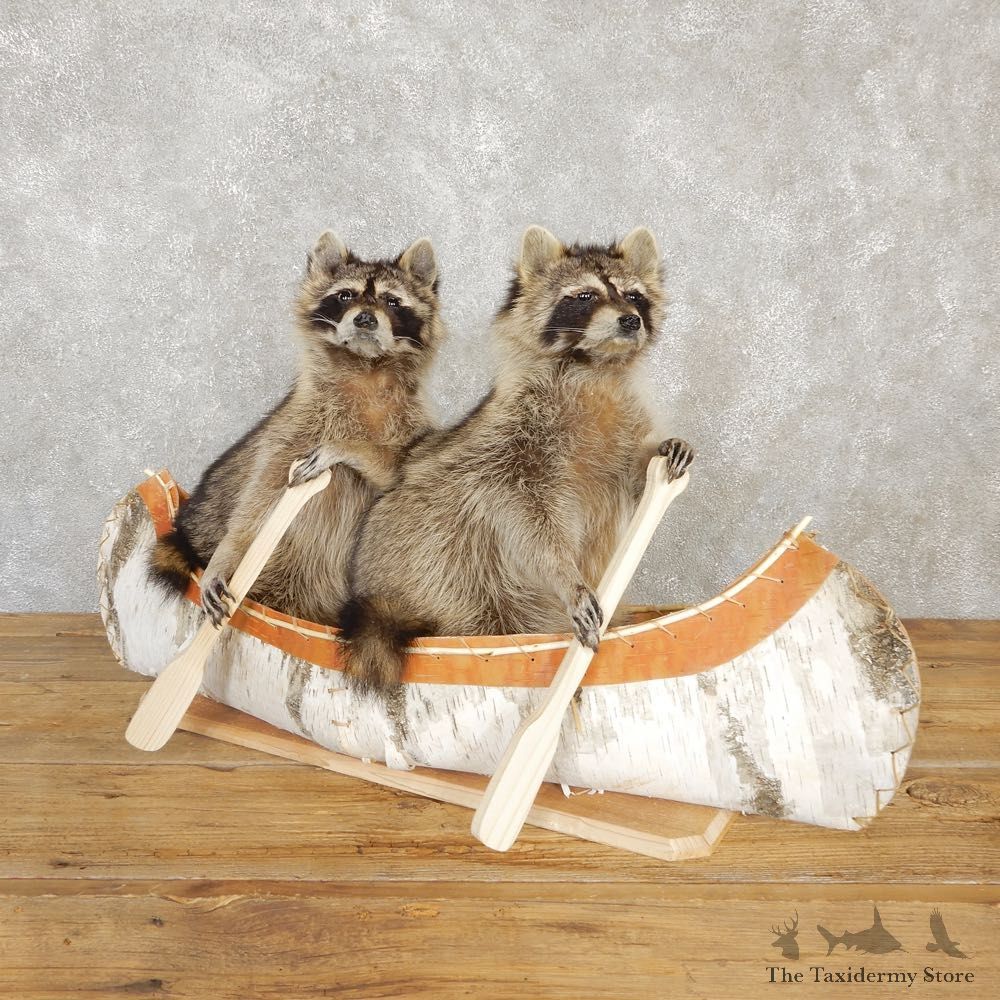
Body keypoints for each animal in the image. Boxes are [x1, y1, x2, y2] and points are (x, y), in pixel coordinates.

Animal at [150, 231, 444, 625]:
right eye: (346, 295)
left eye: (392, 301)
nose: (366, 319)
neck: (364, 368)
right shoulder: (288, 432)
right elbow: (254, 505)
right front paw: (227, 554)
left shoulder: (415, 427)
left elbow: (403, 472)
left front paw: (348, 447)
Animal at [340, 225, 693, 693]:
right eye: (585, 296)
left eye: (633, 295)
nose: (630, 320)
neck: (595, 366)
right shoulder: (512, 449)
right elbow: (529, 521)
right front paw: (565, 577)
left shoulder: (623, 425)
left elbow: (637, 481)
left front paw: (659, 454)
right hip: (437, 564)